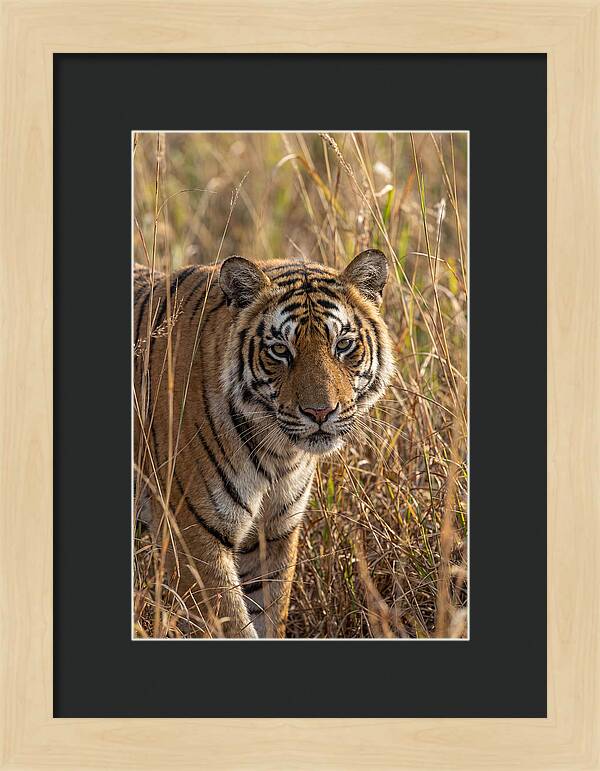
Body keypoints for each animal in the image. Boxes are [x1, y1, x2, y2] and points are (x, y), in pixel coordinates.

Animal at [134, 249, 393, 638]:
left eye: (343, 345)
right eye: (280, 350)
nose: (320, 412)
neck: (278, 454)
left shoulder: (273, 534)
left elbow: (270, 614)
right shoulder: (193, 536)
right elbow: (232, 625)